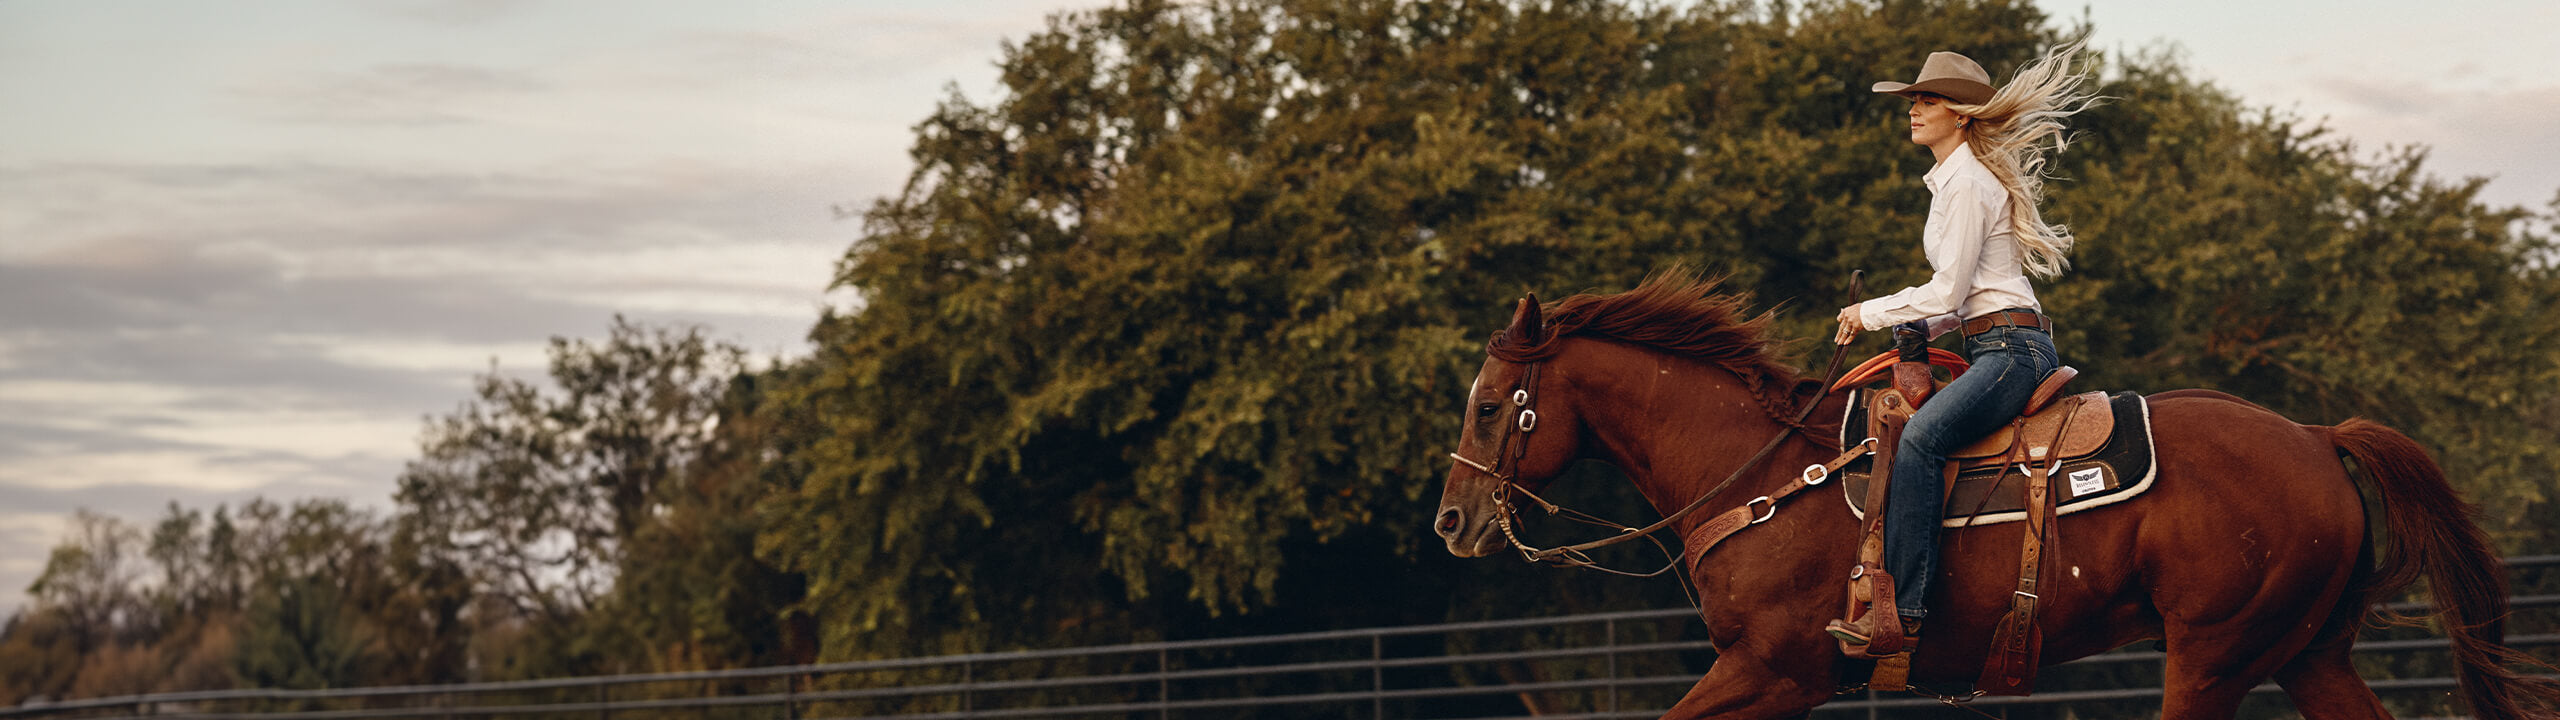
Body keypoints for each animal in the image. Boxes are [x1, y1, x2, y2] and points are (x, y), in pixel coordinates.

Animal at [1433, 271, 2549, 712]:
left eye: (1488, 406)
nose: (1452, 521)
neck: (1762, 472)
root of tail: (2318, 438)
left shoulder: (1773, 671)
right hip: (2304, 653)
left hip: (2213, 657)